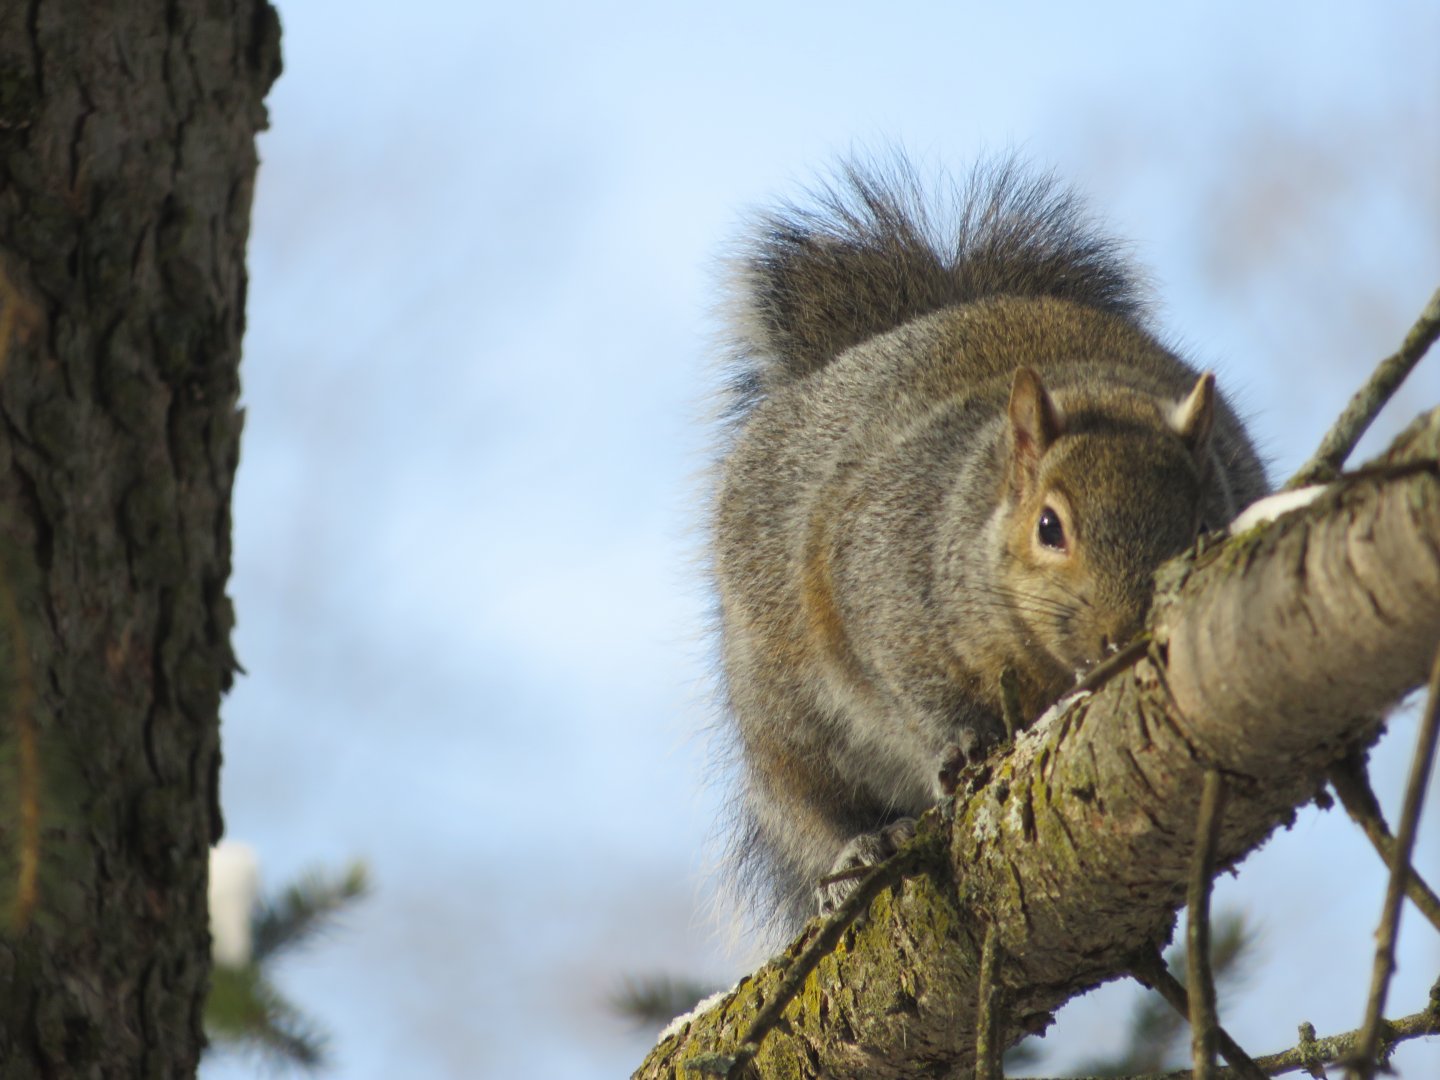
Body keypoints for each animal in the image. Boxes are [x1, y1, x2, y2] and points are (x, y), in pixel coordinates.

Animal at [710, 157, 1269, 935]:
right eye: (1049, 527)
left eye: (1201, 522)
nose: (1121, 633)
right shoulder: (882, 581)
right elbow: (914, 684)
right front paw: (960, 740)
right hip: (783, 722)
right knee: (809, 809)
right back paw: (855, 850)